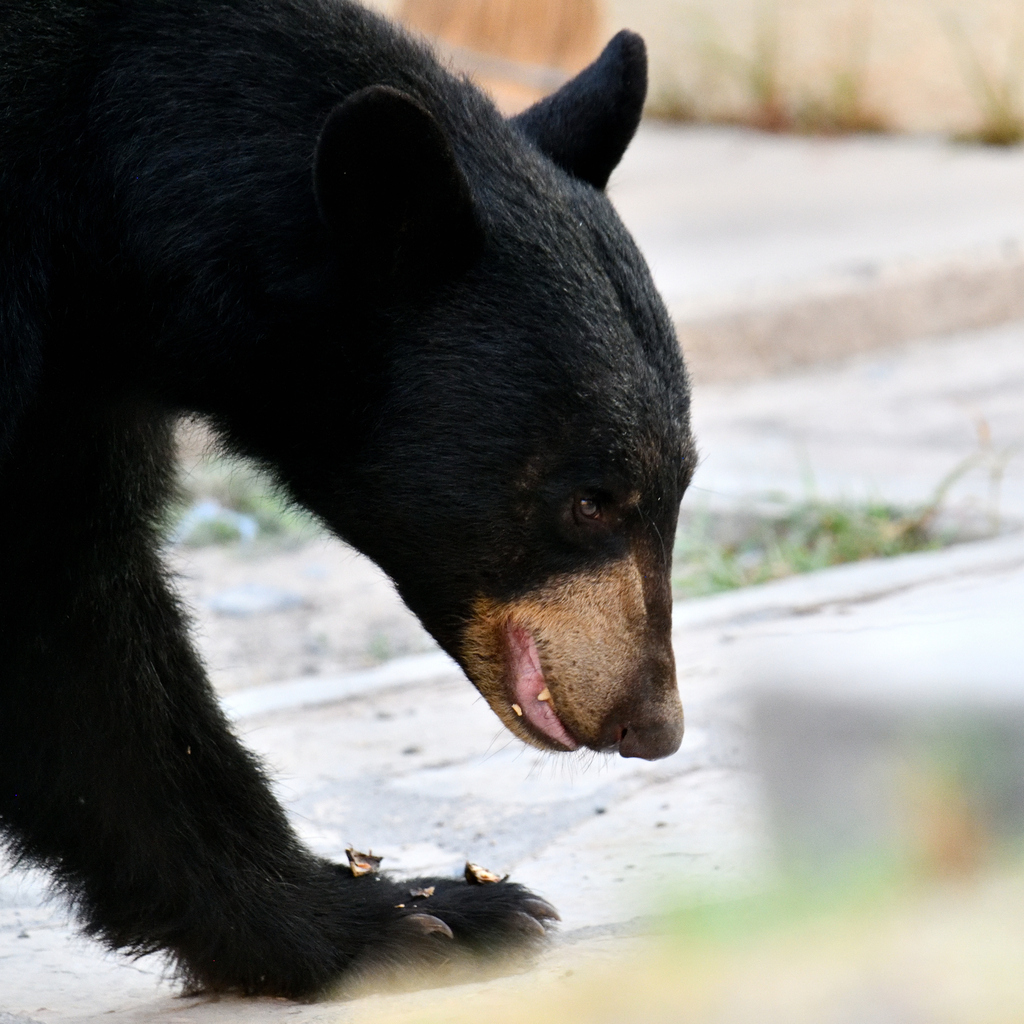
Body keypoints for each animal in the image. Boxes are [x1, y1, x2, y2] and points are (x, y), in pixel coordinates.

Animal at [0, 0, 696, 999]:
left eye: (681, 484)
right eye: (591, 501)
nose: (653, 724)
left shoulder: (71, 387)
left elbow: (67, 608)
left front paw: (433, 907)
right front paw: (402, 922)